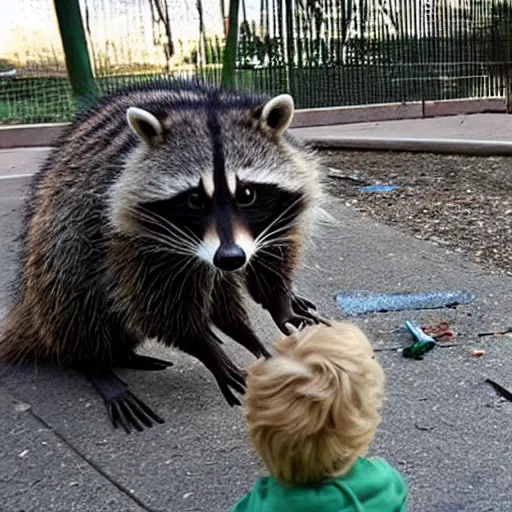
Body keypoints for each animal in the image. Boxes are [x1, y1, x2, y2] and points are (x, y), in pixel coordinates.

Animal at [0, 79, 326, 432]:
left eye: (248, 194)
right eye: (194, 199)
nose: (230, 258)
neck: (207, 105)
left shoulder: (276, 216)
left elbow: (273, 258)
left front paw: (278, 303)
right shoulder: (125, 231)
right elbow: (156, 305)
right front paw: (205, 348)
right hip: (61, 235)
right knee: (78, 294)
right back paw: (96, 363)